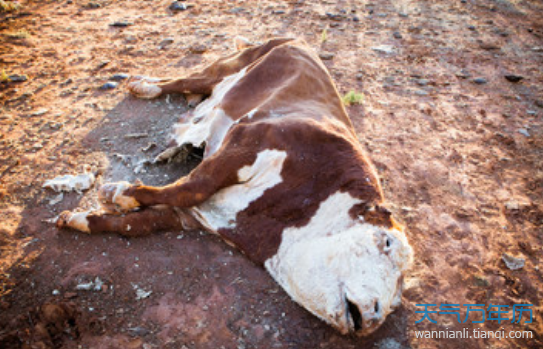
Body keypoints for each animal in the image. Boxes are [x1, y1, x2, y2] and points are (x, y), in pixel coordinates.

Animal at [57, 37, 414, 334]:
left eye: (398, 299)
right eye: (386, 243)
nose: (375, 316)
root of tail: (299, 40)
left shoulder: (193, 217)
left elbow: (135, 224)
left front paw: (81, 219)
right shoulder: (250, 140)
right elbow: (192, 185)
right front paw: (118, 193)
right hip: (234, 62)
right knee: (187, 80)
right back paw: (143, 86)